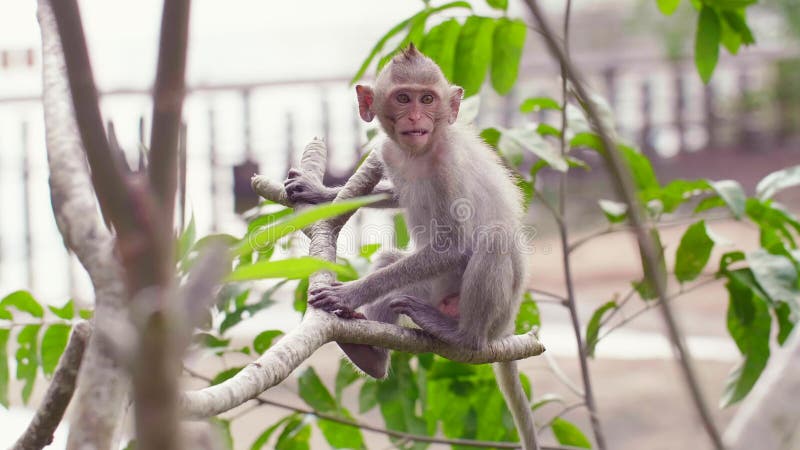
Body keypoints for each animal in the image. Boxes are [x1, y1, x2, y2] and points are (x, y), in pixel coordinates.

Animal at [285, 44, 539, 449]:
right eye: (404, 98)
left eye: (428, 99)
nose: (417, 117)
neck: (420, 152)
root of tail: (507, 327)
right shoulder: (389, 152)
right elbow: (392, 193)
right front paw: (320, 192)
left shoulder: (449, 164)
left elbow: (454, 244)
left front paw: (350, 293)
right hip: (432, 290)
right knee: (392, 262)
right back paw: (371, 358)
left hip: (497, 316)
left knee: (493, 240)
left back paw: (461, 335)